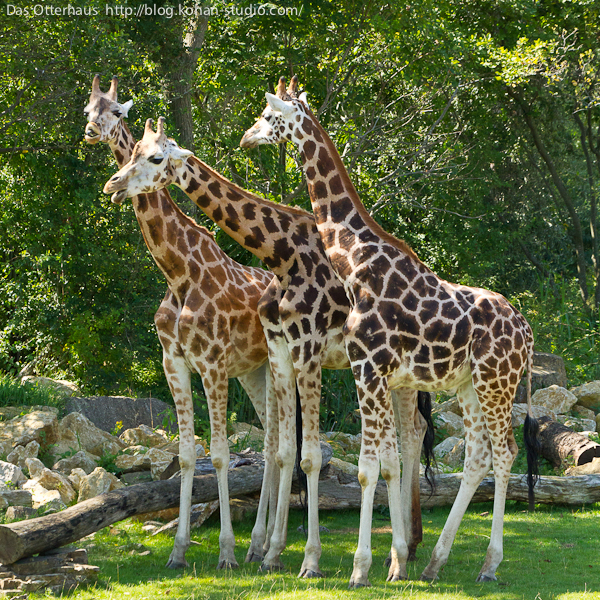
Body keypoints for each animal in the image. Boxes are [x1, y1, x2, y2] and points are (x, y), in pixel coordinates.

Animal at [84, 76, 282, 572]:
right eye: (87, 111)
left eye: (114, 111)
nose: (113, 184)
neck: (177, 273)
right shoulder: (172, 360)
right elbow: (189, 454)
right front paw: (178, 550)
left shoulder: (212, 363)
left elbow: (223, 454)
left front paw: (226, 552)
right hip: (253, 373)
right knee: (272, 442)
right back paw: (260, 544)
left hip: (274, 369)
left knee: (274, 445)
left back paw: (259, 544)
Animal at [101, 111, 434, 576]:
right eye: (131, 151)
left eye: (154, 156)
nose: (113, 184)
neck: (282, 255)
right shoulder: (263, 355)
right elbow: (276, 452)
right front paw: (261, 551)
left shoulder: (289, 352)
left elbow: (289, 455)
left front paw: (296, 558)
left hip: (390, 372)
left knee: (409, 436)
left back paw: (400, 552)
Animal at [238, 76, 540, 584]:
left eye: (267, 115)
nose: (245, 138)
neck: (354, 262)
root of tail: (528, 334)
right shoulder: (371, 371)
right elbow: (383, 463)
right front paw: (389, 560)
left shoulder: (367, 367)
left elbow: (368, 467)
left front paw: (360, 569)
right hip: (469, 385)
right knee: (479, 454)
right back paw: (435, 561)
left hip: (497, 383)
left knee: (504, 453)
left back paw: (488, 565)